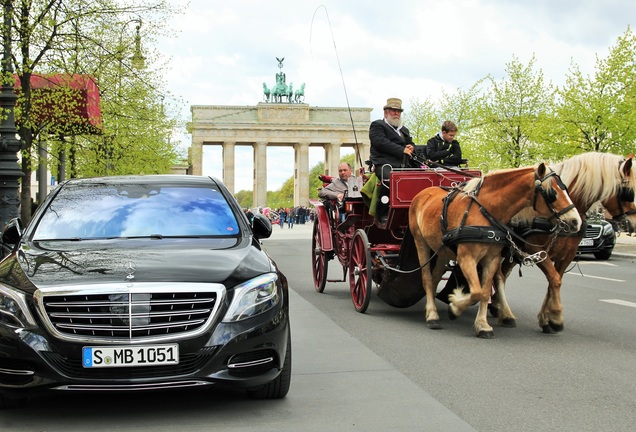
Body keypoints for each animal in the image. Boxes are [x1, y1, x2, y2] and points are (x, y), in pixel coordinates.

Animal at [408, 165, 580, 338]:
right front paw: (455, 307)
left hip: (441, 250)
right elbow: (476, 292)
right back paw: (432, 315)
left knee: (435, 277)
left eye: (566, 188)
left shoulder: (492, 259)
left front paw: (482, 325)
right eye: (552, 193)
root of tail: (423, 193)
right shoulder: (466, 259)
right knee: (427, 278)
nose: (576, 221)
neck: (485, 211)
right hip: (420, 243)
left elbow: (484, 292)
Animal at [492, 153, 636, 334]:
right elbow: (554, 279)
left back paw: (496, 305)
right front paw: (555, 317)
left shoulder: (567, 254)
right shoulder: (537, 251)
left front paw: (547, 318)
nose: (634, 223)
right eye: (628, 192)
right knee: (498, 274)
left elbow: (555, 280)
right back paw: (503, 311)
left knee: (503, 273)